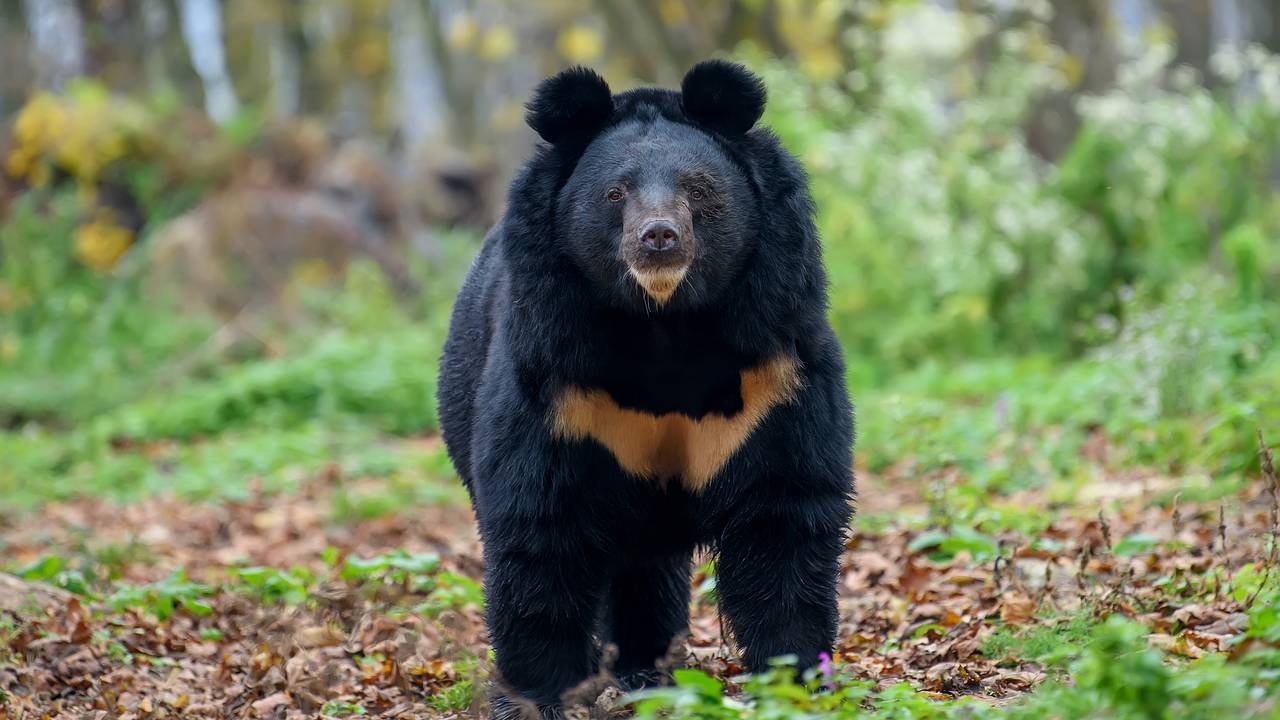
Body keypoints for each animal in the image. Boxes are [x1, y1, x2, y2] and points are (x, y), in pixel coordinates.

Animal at [437, 60, 855, 716]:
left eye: (698, 189)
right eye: (616, 193)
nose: (658, 237)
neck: (665, 323)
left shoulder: (776, 365)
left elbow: (784, 509)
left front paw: (795, 677)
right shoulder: (556, 377)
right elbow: (540, 523)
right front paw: (536, 694)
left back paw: (650, 670)